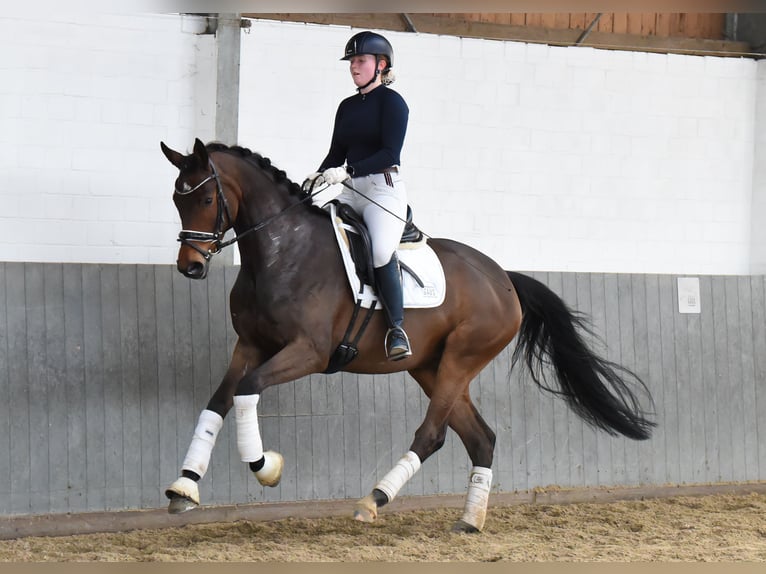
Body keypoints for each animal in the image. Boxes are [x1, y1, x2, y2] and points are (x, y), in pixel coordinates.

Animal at [159, 140, 656, 536]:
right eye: (177, 200)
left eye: (207, 197)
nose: (191, 266)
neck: (283, 250)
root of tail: (503, 280)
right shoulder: (250, 345)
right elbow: (219, 400)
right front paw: (184, 486)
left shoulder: (308, 353)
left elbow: (248, 389)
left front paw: (266, 467)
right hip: (431, 368)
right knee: (480, 438)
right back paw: (469, 521)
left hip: (459, 360)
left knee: (432, 434)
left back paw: (373, 500)